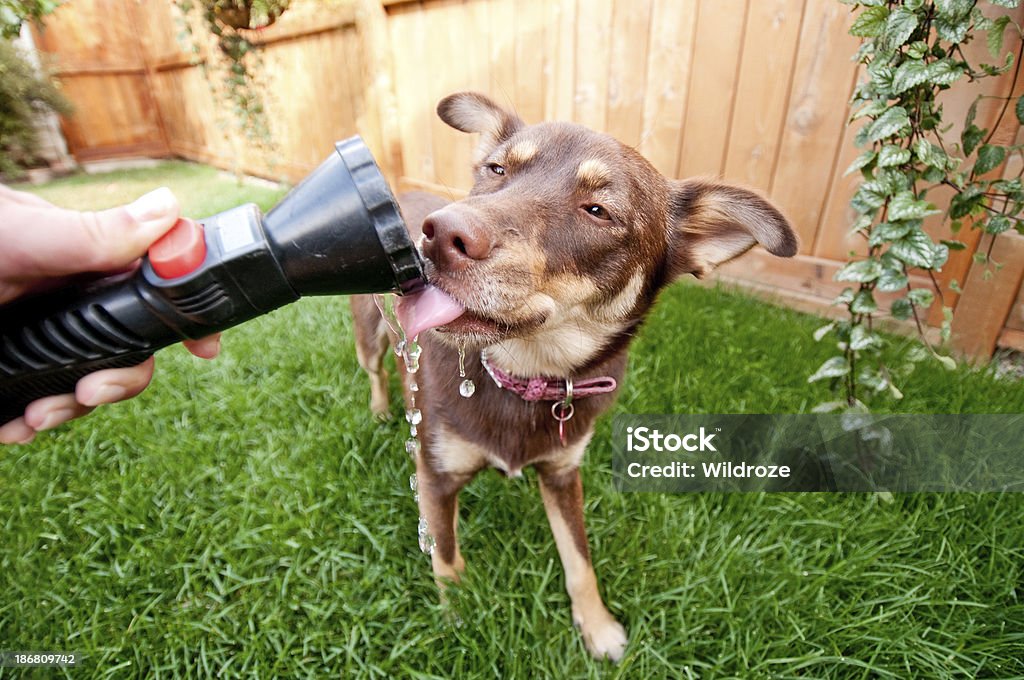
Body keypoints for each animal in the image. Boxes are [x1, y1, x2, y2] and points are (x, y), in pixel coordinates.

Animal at [352, 93, 798, 659]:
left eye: (597, 211)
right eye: (496, 170)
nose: (436, 235)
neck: (525, 376)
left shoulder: (565, 473)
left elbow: (579, 560)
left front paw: (598, 625)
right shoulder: (435, 474)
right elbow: (446, 557)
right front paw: (456, 617)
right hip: (369, 336)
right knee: (374, 371)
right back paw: (380, 410)